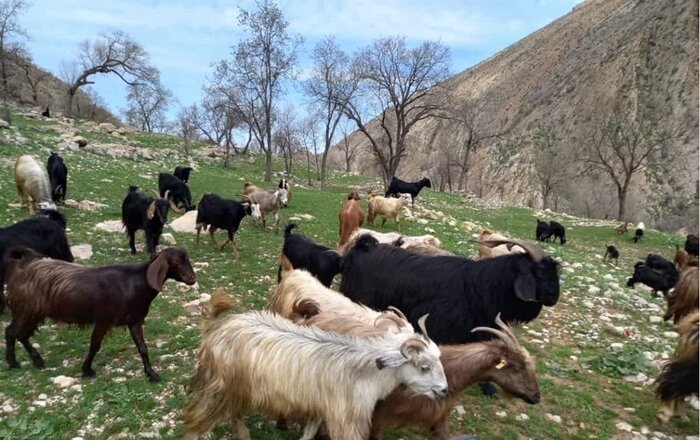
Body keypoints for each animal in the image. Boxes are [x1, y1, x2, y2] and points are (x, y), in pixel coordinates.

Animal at [4, 246, 197, 380]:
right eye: (176, 262)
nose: (192, 279)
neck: (135, 283)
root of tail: (22, 266)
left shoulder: (134, 320)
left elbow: (142, 347)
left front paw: (151, 374)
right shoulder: (104, 319)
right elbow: (95, 345)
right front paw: (87, 370)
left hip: (33, 313)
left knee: (20, 334)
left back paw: (36, 361)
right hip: (26, 310)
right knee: (12, 332)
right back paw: (14, 363)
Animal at [178, 292, 446, 440]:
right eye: (424, 366)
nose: (443, 390)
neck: (363, 371)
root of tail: (216, 327)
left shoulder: (320, 408)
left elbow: (308, 434)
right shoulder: (345, 421)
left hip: (239, 391)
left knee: (235, 416)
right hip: (218, 390)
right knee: (193, 423)